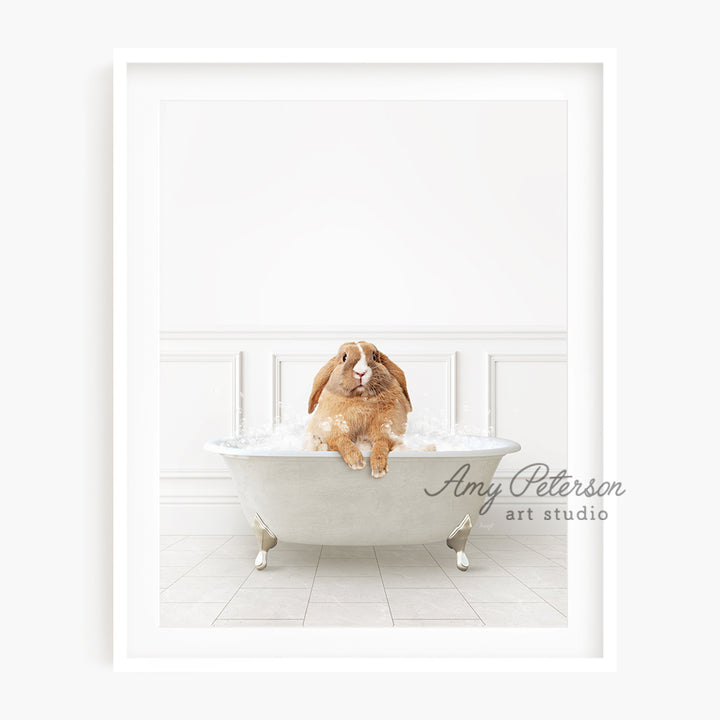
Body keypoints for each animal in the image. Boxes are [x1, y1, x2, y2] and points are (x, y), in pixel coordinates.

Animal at [300, 342, 410, 478]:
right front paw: (357, 462)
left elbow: (381, 444)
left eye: (374, 356)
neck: (361, 399)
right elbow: (343, 441)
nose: (360, 372)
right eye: (344, 357)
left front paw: (379, 470)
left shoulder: (387, 432)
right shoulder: (334, 432)